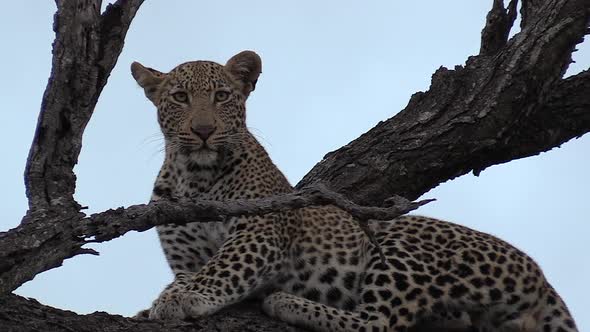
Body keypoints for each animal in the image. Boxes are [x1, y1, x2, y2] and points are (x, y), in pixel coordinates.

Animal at [130, 50, 580, 330]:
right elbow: (194, 272)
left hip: (398, 241)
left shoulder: (260, 231)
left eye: (222, 95)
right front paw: (168, 296)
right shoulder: (184, 255)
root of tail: (542, 277)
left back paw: (286, 302)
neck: (195, 175)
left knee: (376, 322)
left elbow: (221, 268)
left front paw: (180, 298)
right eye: (180, 97)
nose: (203, 131)